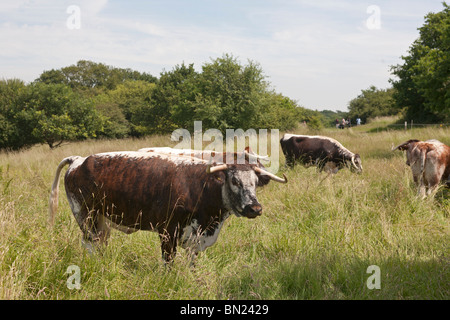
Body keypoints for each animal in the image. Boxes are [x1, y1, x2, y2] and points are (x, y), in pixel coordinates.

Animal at [49, 151, 286, 264]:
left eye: (255, 182)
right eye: (235, 181)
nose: (255, 208)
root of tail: (79, 160)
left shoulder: (195, 238)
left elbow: (192, 263)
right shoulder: (167, 232)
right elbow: (169, 262)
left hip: (101, 222)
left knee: (101, 244)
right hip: (85, 217)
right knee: (90, 244)